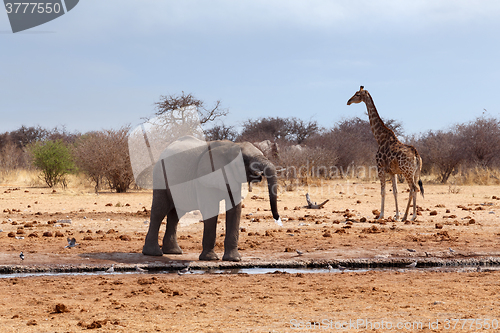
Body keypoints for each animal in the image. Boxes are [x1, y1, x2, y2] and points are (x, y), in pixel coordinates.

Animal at [142, 134, 282, 260]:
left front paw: (234, 259)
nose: (277, 218)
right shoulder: (205, 176)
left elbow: (235, 210)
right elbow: (211, 208)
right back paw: (153, 253)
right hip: (160, 176)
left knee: (176, 214)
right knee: (159, 210)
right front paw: (210, 258)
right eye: (245, 160)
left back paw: (174, 252)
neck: (232, 146)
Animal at [348, 85, 426, 220]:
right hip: (416, 173)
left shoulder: (380, 168)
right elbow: (395, 191)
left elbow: (383, 191)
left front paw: (381, 215)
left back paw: (410, 216)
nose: (348, 101)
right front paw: (396, 215)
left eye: (357, 94)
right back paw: (409, 216)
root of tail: (416, 155)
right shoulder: (392, 172)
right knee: (414, 189)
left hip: (407, 172)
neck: (379, 138)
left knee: (413, 189)